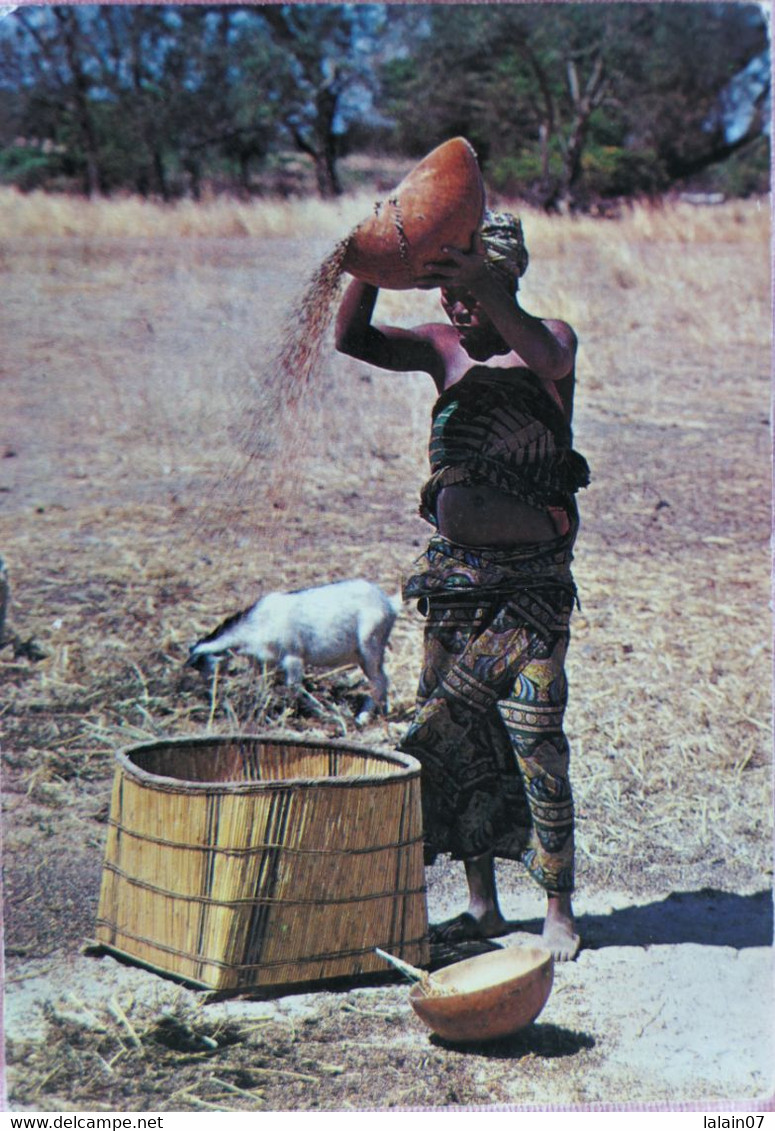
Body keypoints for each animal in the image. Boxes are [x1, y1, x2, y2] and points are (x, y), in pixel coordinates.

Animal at [187, 579, 402, 728]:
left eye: (206, 667)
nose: (211, 696)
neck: (256, 625)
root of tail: (389, 603)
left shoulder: (293, 658)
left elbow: (294, 687)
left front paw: (322, 712)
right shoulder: (263, 663)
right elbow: (262, 687)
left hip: (369, 647)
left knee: (379, 681)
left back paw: (363, 718)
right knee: (381, 680)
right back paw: (382, 712)